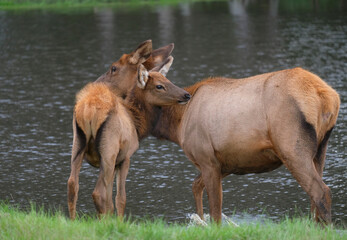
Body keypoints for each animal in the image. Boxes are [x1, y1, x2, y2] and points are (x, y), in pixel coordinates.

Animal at [66, 54, 189, 219]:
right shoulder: (125, 157)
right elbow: (120, 198)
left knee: (72, 184)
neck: (137, 124)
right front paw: (118, 221)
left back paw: (73, 220)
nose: (186, 94)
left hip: (77, 144)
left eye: (168, 80)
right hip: (108, 150)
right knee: (98, 193)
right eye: (159, 86)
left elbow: (110, 200)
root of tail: (89, 110)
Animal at [152, 67, 340, 223]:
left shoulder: (207, 158)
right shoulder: (228, 161)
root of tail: (327, 97)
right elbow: (196, 186)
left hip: (292, 149)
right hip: (321, 148)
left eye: (159, 86)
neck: (177, 125)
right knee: (314, 195)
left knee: (321, 191)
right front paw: (199, 221)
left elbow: (215, 210)